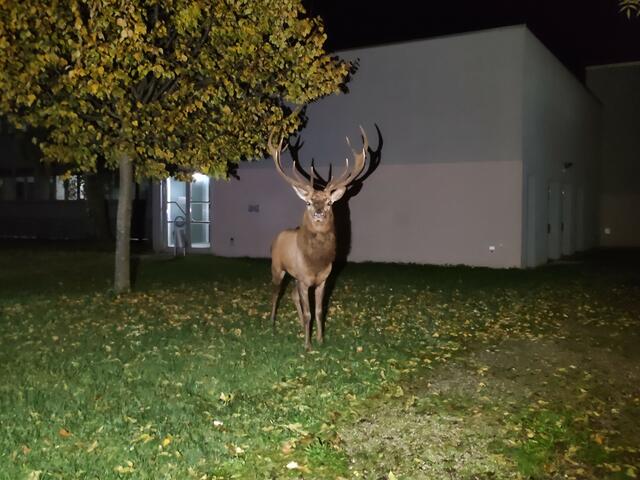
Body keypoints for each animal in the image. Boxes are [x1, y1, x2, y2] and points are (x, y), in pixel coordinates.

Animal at [268, 127, 368, 351]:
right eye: (309, 203)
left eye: (330, 202)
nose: (319, 213)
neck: (315, 261)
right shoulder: (304, 280)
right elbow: (308, 313)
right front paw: (308, 345)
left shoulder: (322, 280)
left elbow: (320, 311)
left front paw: (321, 339)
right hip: (277, 267)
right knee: (276, 293)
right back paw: (271, 323)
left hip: (293, 276)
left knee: (292, 295)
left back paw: (297, 325)